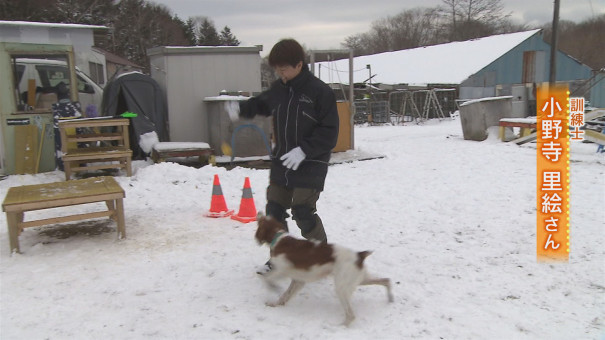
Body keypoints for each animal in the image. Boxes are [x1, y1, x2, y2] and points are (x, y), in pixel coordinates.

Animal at [254, 216, 392, 326]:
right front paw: (275, 304)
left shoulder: (282, 270)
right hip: (360, 279)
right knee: (386, 280)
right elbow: (285, 295)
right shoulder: (298, 281)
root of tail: (359, 255)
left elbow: (265, 278)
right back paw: (390, 298)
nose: (258, 214)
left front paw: (272, 287)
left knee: (351, 315)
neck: (279, 239)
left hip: (342, 288)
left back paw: (340, 327)